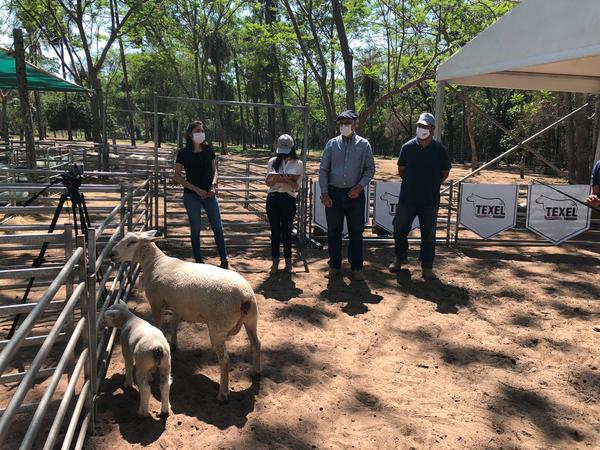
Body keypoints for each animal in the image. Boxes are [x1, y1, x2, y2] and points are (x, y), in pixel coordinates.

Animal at [110, 230, 260, 402]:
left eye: (132, 242)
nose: (111, 254)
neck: (155, 263)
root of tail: (245, 296)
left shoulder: (156, 302)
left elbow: (158, 325)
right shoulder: (177, 306)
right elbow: (174, 324)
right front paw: (173, 345)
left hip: (218, 327)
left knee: (225, 360)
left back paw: (223, 394)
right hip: (252, 319)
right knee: (256, 344)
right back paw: (256, 373)